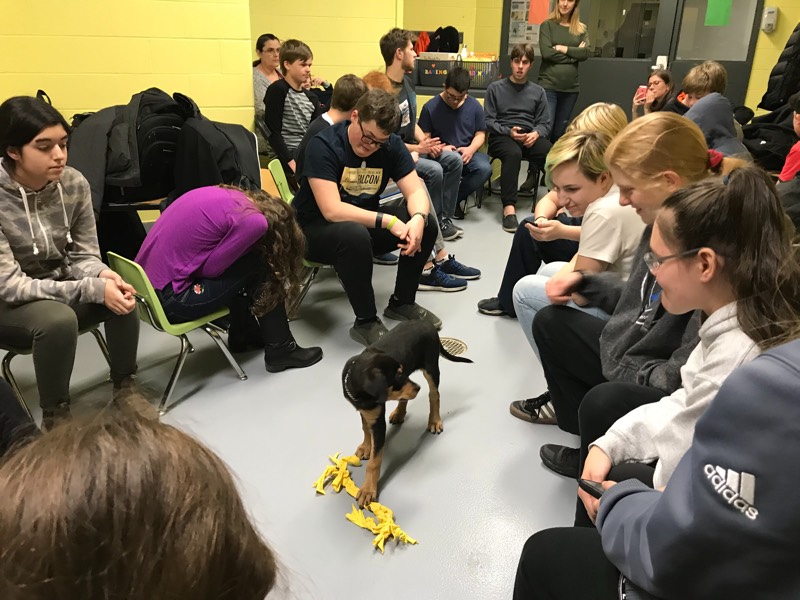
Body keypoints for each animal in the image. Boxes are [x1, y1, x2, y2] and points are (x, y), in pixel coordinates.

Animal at [340, 318, 472, 506]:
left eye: (400, 373)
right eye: (396, 377)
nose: (418, 388)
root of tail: (425, 322)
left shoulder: (378, 421)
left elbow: (374, 462)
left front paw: (368, 489)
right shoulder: (366, 410)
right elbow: (365, 428)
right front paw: (366, 447)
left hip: (431, 366)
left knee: (434, 395)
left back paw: (434, 420)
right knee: (406, 398)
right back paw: (399, 413)